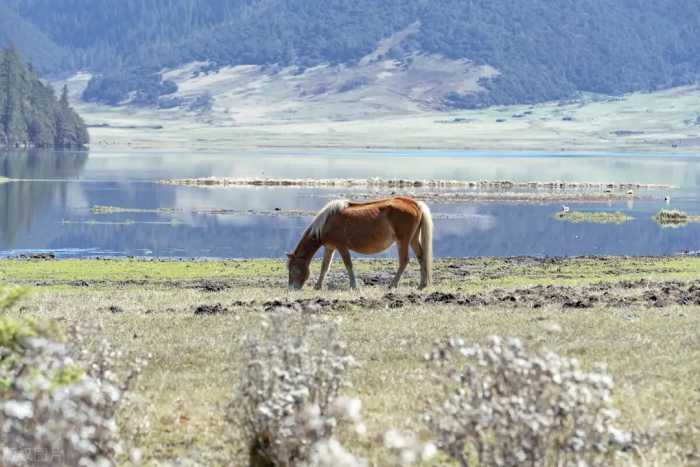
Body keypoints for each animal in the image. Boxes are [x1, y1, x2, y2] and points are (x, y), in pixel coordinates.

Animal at [286, 196, 432, 290]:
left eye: (293, 268)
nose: (292, 288)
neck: (327, 222)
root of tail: (414, 204)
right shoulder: (330, 247)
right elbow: (325, 267)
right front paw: (318, 286)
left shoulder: (341, 247)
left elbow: (348, 265)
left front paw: (353, 285)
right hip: (413, 239)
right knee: (421, 257)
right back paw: (422, 285)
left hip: (403, 241)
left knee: (404, 261)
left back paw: (392, 285)